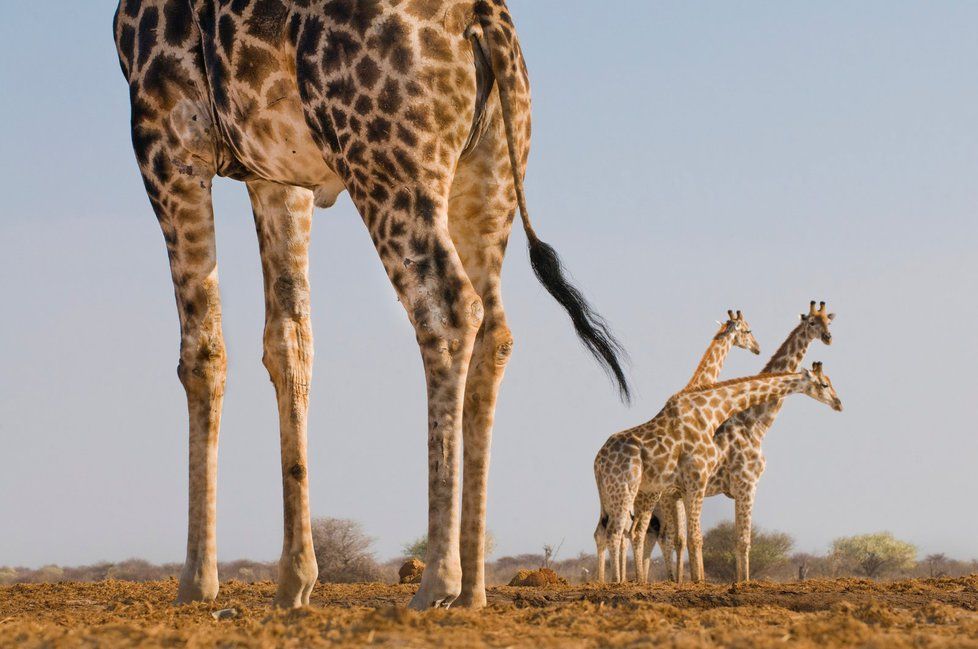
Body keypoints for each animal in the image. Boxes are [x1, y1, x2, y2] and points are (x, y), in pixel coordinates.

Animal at [110, 0, 628, 612]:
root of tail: (486, 18)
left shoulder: (165, 137)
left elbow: (202, 352)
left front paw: (195, 583)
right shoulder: (275, 175)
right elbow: (288, 342)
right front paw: (295, 582)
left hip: (388, 165)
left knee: (449, 309)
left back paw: (436, 582)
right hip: (491, 170)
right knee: (495, 331)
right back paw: (473, 590)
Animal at [592, 364, 844, 584]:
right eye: (824, 384)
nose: (838, 403)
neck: (711, 412)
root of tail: (597, 462)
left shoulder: (689, 487)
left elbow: (690, 537)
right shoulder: (703, 480)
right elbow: (699, 537)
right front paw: (701, 581)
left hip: (628, 494)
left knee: (621, 532)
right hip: (627, 489)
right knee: (618, 532)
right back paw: (618, 582)